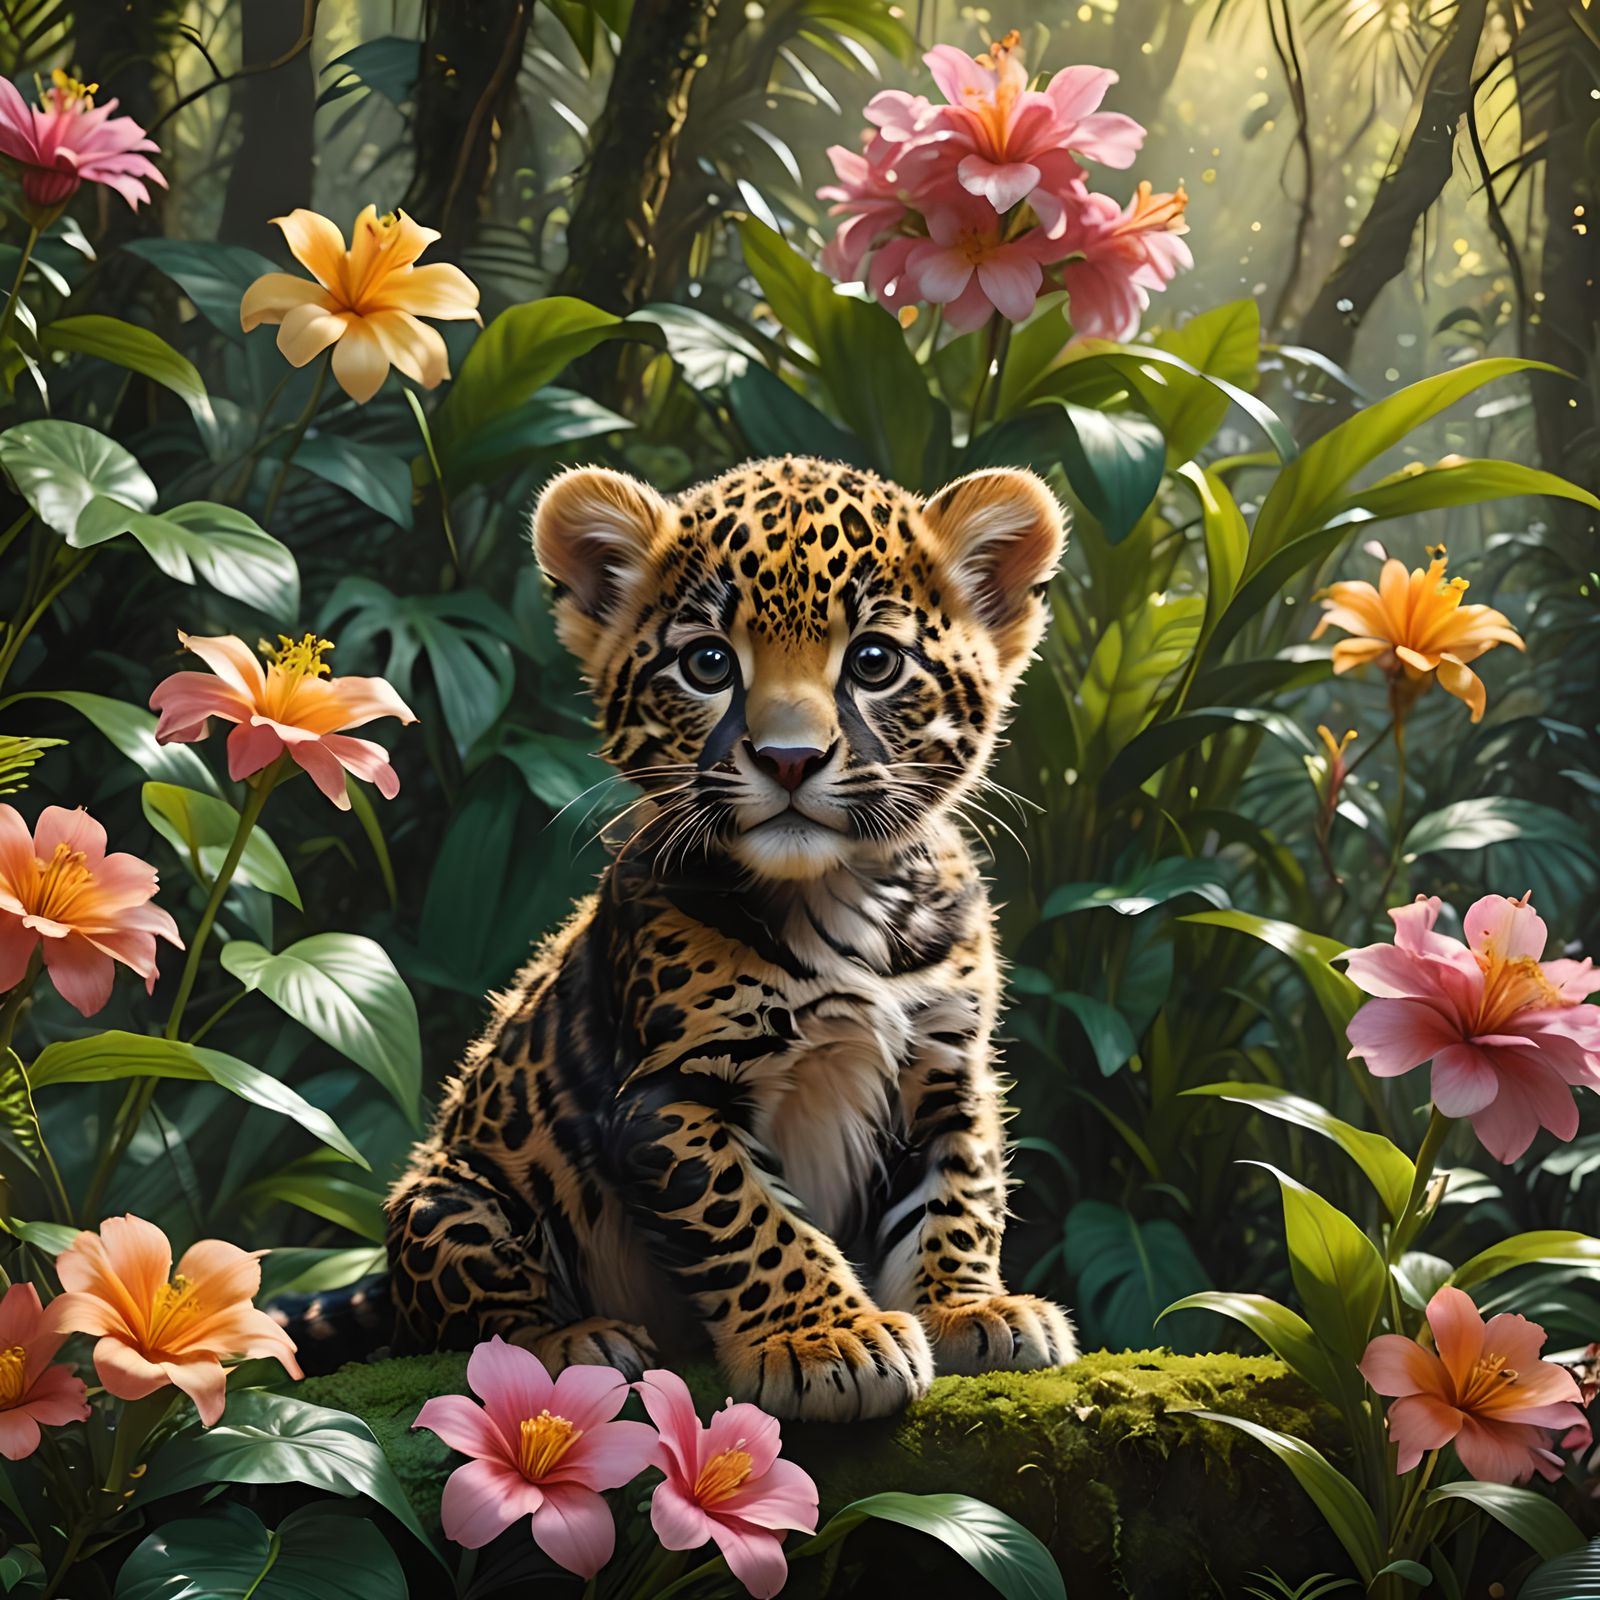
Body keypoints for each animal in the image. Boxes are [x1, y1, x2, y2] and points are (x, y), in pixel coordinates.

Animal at [379, 454, 1076, 1421]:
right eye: (708, 663)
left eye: (874, 661)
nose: (789, 759)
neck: (841, 897)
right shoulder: (670, 1093)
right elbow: (755, 1222)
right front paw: (829, 1340)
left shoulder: (945, 1067)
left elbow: (957, 1195)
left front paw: (970, 1309)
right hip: (447, 1199)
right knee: (480, 1321)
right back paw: (572, 1343)